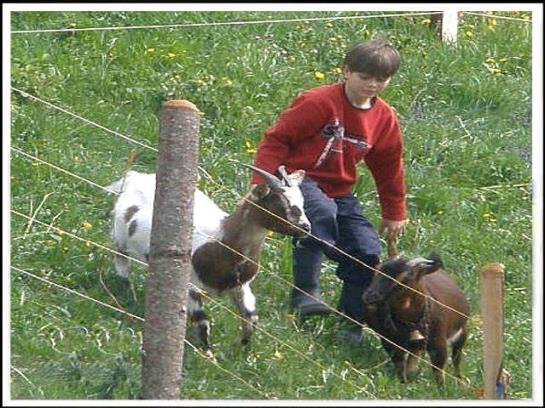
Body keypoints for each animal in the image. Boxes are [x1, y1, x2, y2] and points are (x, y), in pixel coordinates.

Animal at [362, 253, 468, 384]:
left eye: (408, 276)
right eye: (377, 269)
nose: (370, 295)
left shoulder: (439, 344)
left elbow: (439, 373)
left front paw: (442, 389)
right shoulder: (390, 342)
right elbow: (400, 366)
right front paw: (404, 383)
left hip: (462, 332)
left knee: (456, 358)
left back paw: (460, 381)